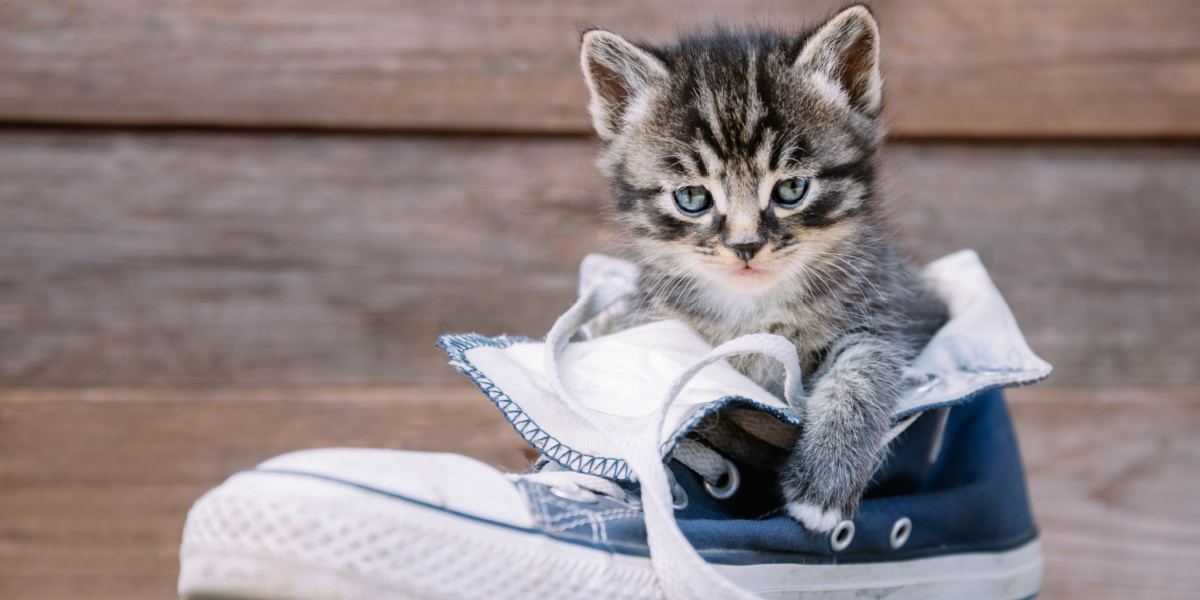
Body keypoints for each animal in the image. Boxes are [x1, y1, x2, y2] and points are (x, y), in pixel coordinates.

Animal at [576, 4, 950, 530]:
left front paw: (825, 479)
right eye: (692, 198)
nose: (746, 245)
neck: (753, 310)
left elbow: (862, 372)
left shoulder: (885, 310)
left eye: (791, 189)